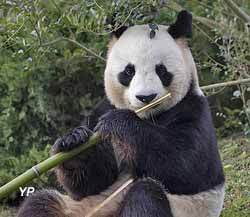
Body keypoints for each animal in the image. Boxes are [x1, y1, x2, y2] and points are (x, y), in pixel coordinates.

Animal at [17, 10, 225, 217]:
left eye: (162, 70)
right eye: (129, 71)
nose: (146, 97)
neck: (146, 115)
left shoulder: (192, 108)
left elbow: (187, 166)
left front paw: (120, 122)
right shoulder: (102, 109)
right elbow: (90, 183)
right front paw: (74, 141)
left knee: (146, 194)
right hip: (79, 207)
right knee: (41, 201)